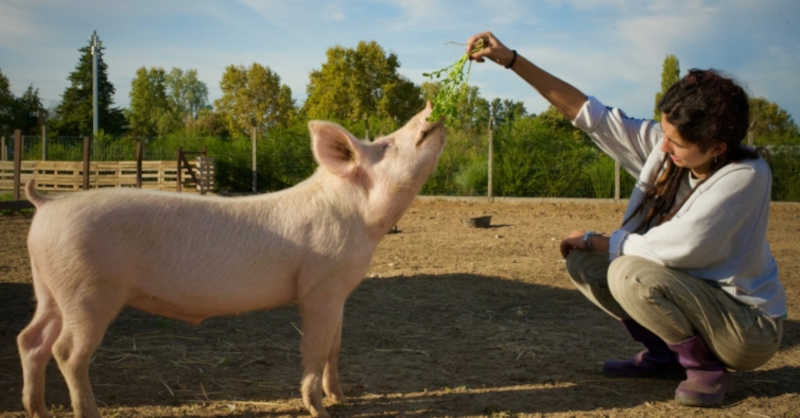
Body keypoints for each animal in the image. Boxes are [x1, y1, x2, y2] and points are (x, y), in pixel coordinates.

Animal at [18, 102, 446, 418]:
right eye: (386, 144)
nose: (430, 107)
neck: (363, 222)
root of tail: (48, 205)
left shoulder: (340, 290)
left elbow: (334, 346)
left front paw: (342, 397)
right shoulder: (318, 288)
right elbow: (314, 347)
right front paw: (320, 410)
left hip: (49, 286)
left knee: (31, 339)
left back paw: (38, 410)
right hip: (87, 291)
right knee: (67, 352)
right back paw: (87, 411)